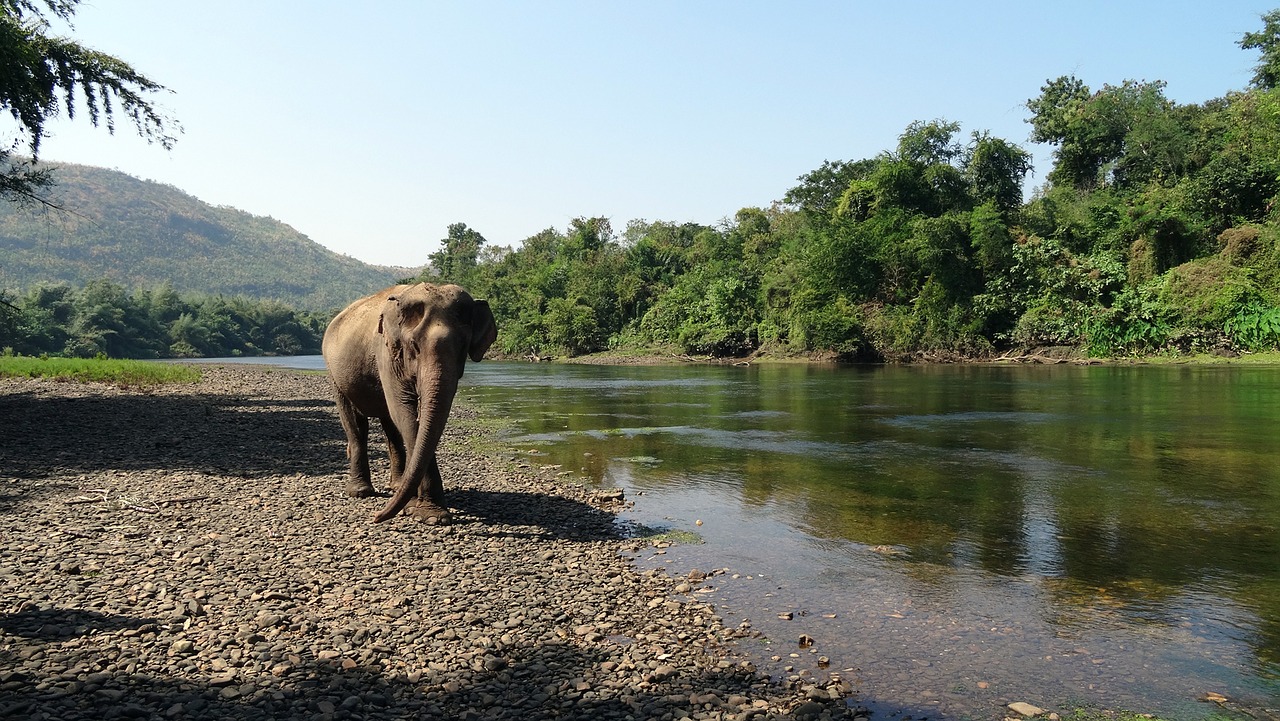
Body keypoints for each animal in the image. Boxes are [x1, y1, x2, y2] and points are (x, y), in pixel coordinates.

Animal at [322, 283, 496, 525]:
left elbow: (411, 418)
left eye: (462, 346)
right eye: (414, 346)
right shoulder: (386, 352)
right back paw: (360, 491)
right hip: (334, 374)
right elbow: (404, 411)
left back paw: (396, 486)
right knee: (355, 423)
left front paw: (423, 511)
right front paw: (430, 515)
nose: (377, 517)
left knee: (390, 426)